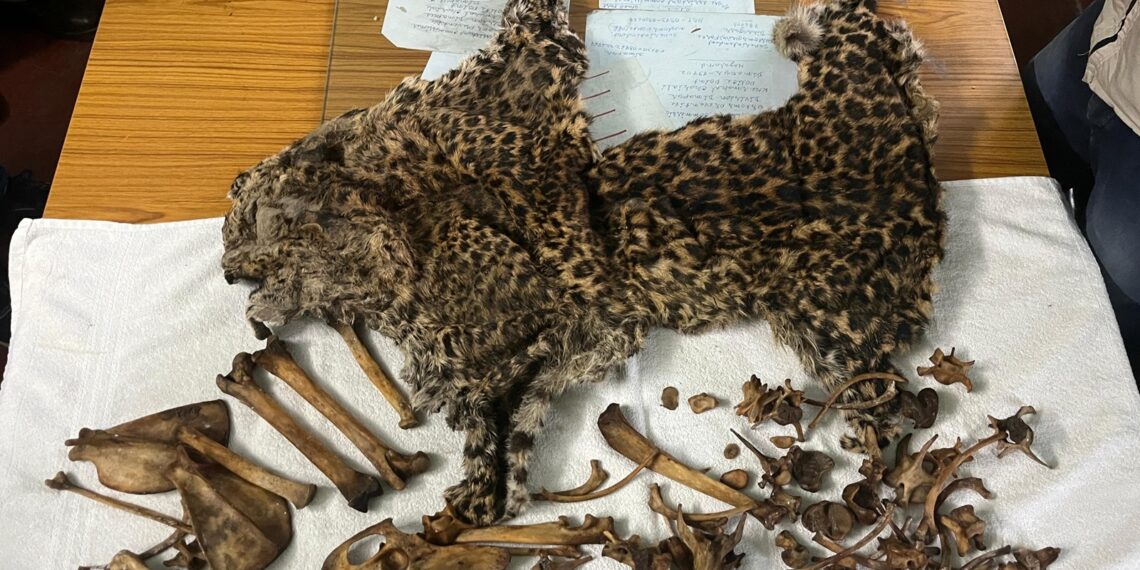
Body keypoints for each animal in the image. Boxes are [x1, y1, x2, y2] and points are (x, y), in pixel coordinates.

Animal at [220, 0, 945, 526]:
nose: (227, 270)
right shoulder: (551, 350)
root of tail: (920, 186)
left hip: (832, 311)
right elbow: (508, 449)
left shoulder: (528, 65)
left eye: (236, 210)